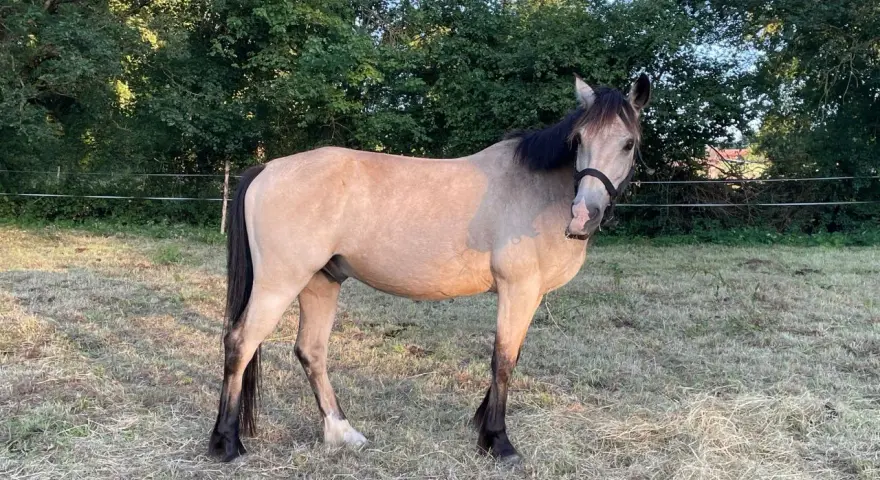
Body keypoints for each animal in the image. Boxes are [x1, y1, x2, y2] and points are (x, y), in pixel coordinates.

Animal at [209, 73, 651, 464]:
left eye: (628, 144)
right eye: (578, 140)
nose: (582, 216)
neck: (536, 189)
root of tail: (267, 168)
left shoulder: (529, 294)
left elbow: (512, 355)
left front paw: (482, 427)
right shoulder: (518, 289)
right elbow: (503, 361)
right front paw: (498, 442)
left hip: (321, 282)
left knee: (310, 351)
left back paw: (342, 433)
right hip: (279, 283)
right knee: (240, 343)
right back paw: (226, 443)